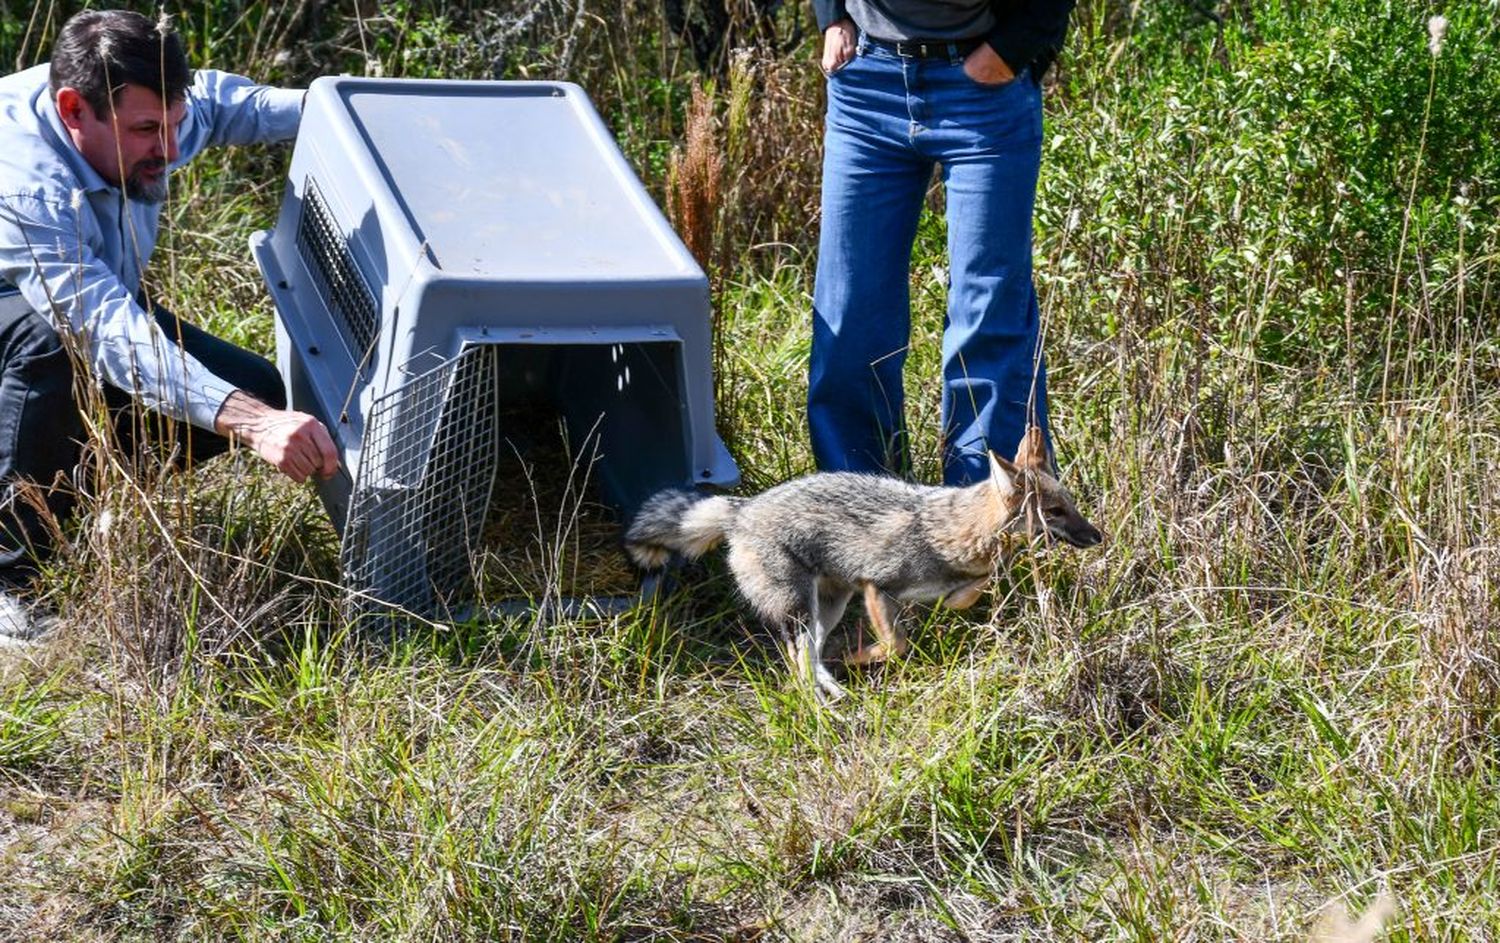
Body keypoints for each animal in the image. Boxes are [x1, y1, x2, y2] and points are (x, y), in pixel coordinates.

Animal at [621, 425, 1104, 698]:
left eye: (1072, 506)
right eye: (1055, 512)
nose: (1099, 536)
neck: (951, 532)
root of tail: (742, 509)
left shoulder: (955, 579)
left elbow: (968, 593)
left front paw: (953, 601)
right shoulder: (877, 586)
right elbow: (896, 644)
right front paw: (860, 657)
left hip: (826, 608)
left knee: (808, 658)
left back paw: (834, 688)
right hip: (803, 610)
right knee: (800, 665)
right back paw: (825, 704)